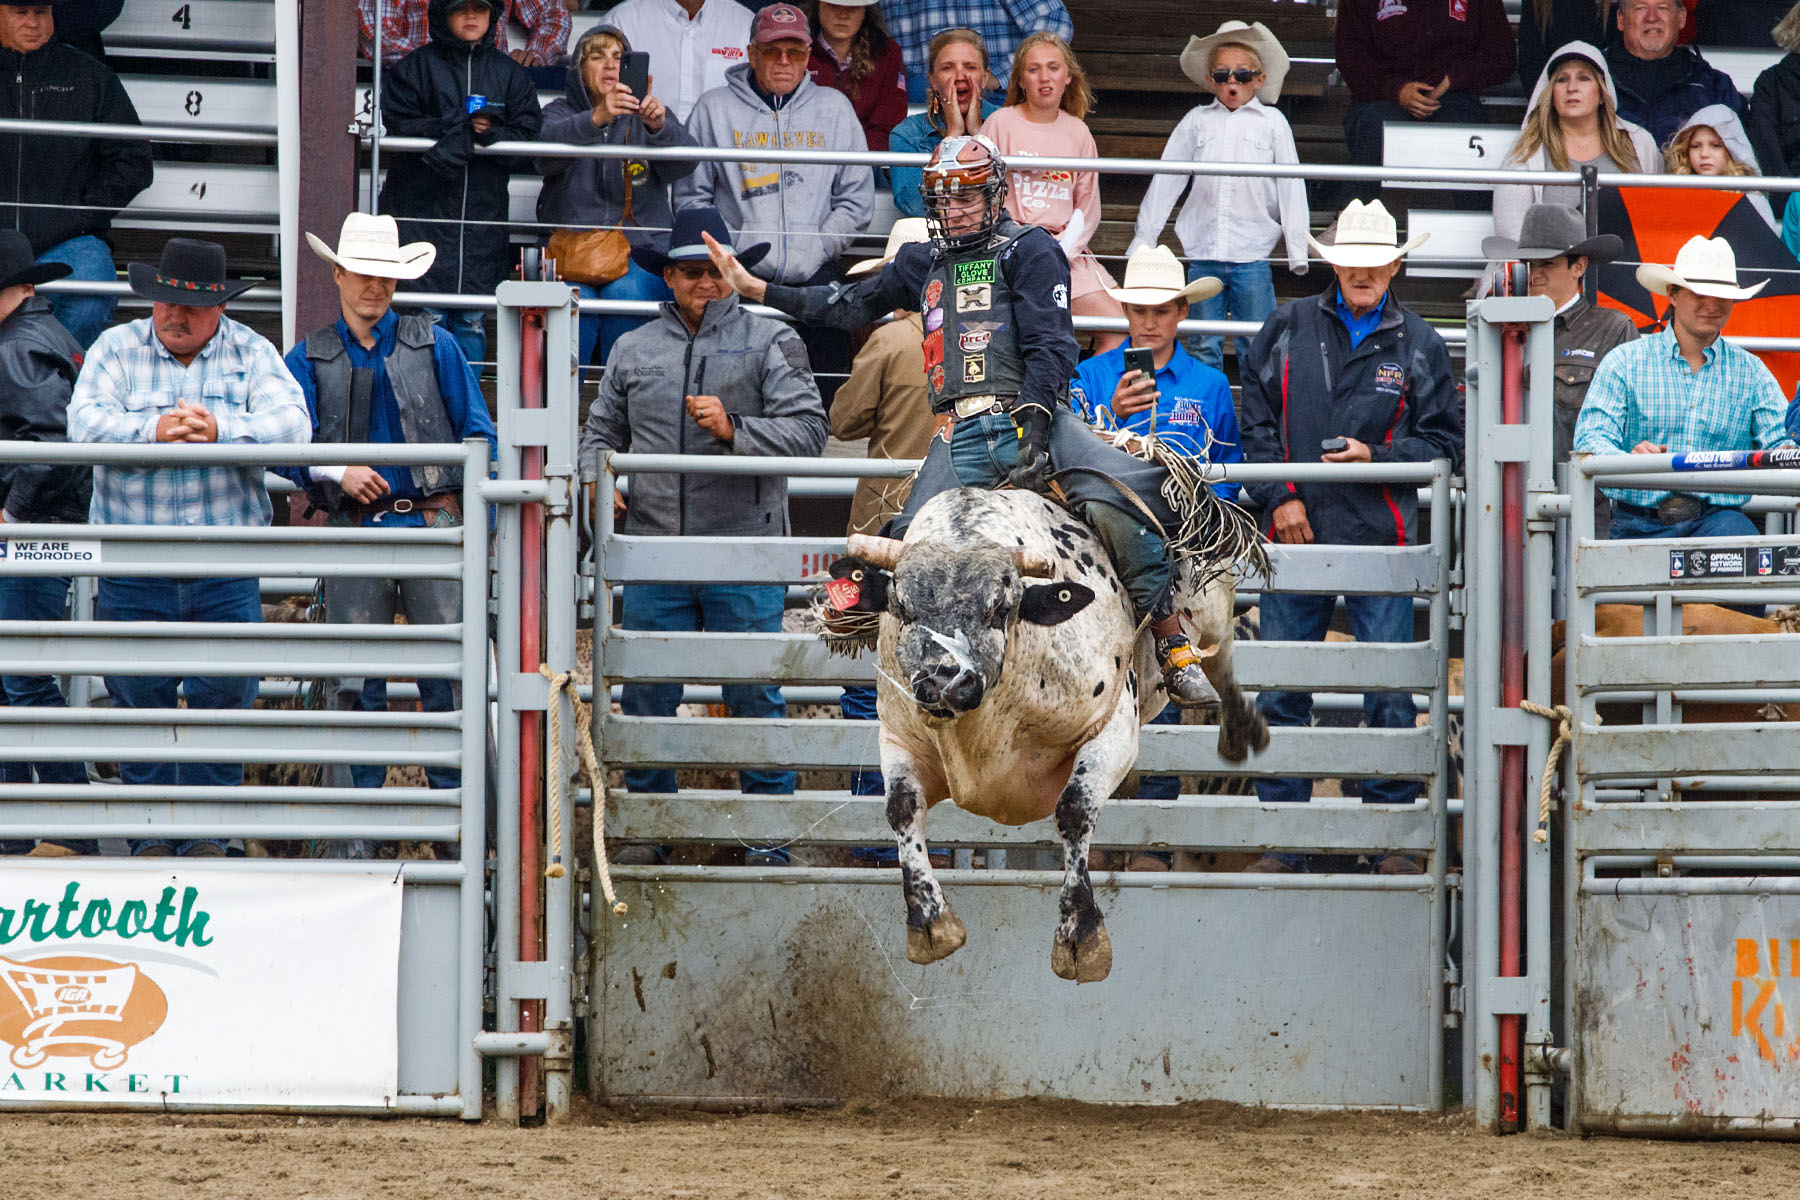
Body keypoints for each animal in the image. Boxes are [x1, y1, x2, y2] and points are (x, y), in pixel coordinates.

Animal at [831, 486, 1266, 984]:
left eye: (1001, 607)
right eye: (902, 607)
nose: (944, 681)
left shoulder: (1114, 728)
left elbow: (1074, 809)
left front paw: (1081, 937)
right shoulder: (899, 736)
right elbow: (902, 808)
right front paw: (930, 924)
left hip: (1216, 607)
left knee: (1223, 662)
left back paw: (1233, 723)